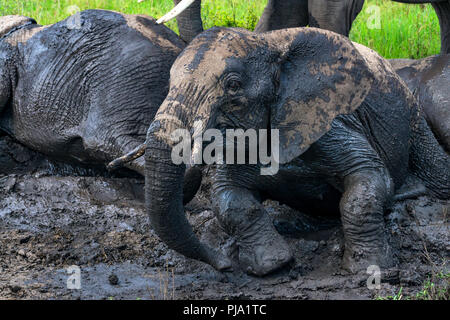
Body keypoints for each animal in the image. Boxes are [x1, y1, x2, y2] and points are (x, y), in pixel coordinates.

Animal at [118, 26, 446, 276]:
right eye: (169, 82)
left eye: (233, 85)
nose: (223, 266)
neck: (270, 46)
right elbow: (228, 197)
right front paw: (273, 265)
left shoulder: (329, 120)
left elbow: (367, 180)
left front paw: (370, 269)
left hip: (414, 116)